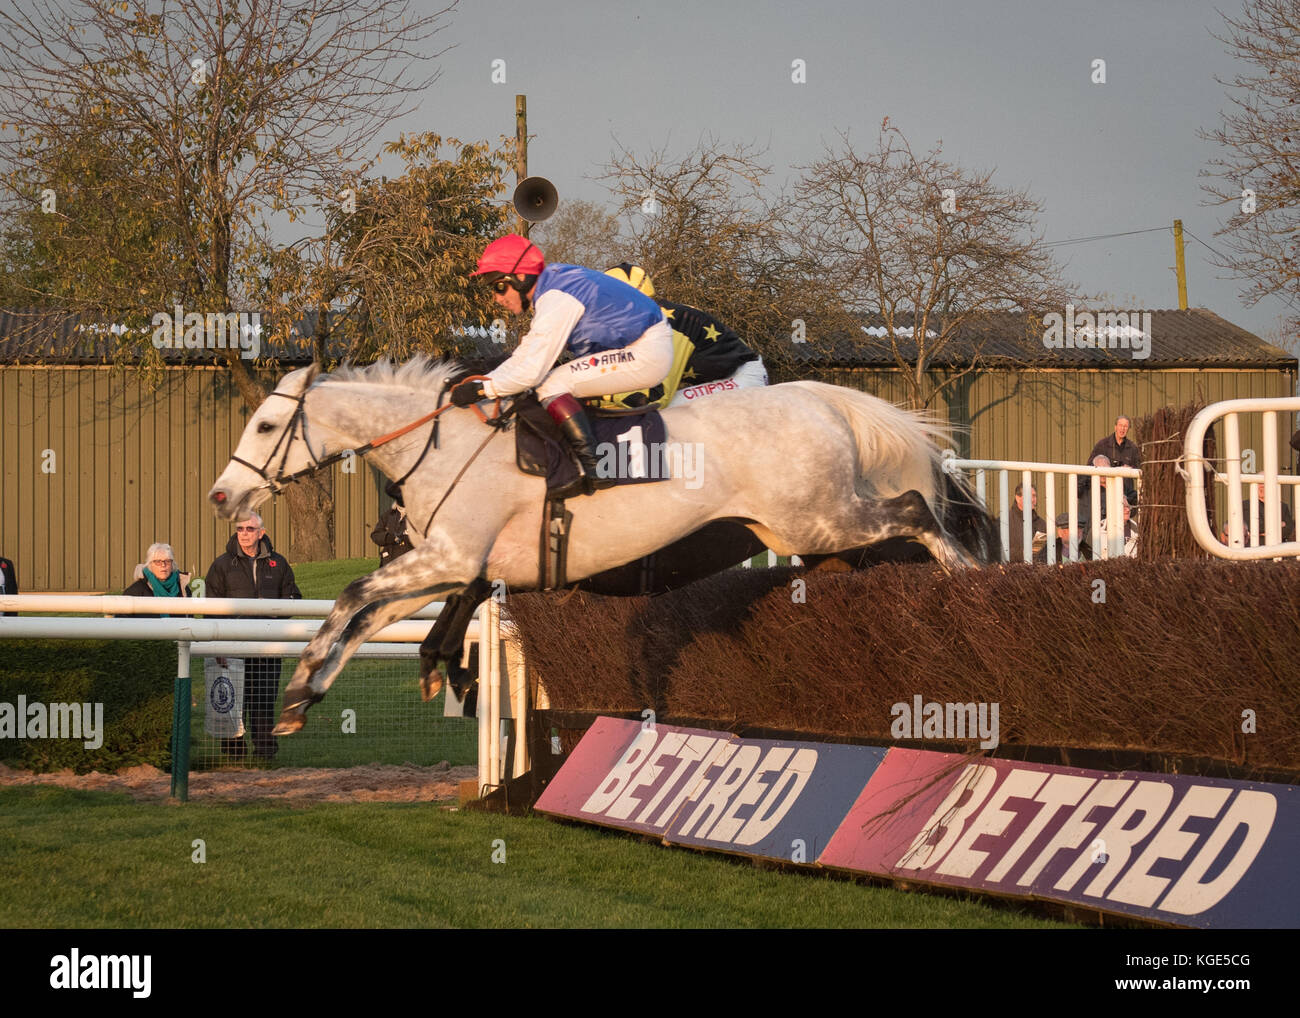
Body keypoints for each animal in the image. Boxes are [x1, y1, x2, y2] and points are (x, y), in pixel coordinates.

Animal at [208, 357, 999, 734]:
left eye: (267, 426)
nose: (221, 495)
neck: (445, 446)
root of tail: (820, 397)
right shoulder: (448, 567)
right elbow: (363, 615)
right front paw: (304, 694)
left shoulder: (453, 561)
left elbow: (352, 595)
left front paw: (306, 685)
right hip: (811, 535)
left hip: (824, 519)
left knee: (915, 510)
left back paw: (969, 579)